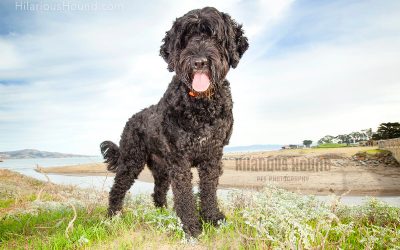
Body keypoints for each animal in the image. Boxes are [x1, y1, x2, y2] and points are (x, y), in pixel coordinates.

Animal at [100, 5, 247, 236]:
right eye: (186, 38)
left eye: (214, 36)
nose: (199, 62)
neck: (200, 106)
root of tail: (132, 119)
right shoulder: (180, 159)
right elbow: (184, 195)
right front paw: (191, 228)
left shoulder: (212, 155)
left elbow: (209, 190)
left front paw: (212, 219)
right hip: (131, 160)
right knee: (117, 188)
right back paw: (112, 217)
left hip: (161, 169)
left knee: (158, 192)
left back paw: (162, 214)